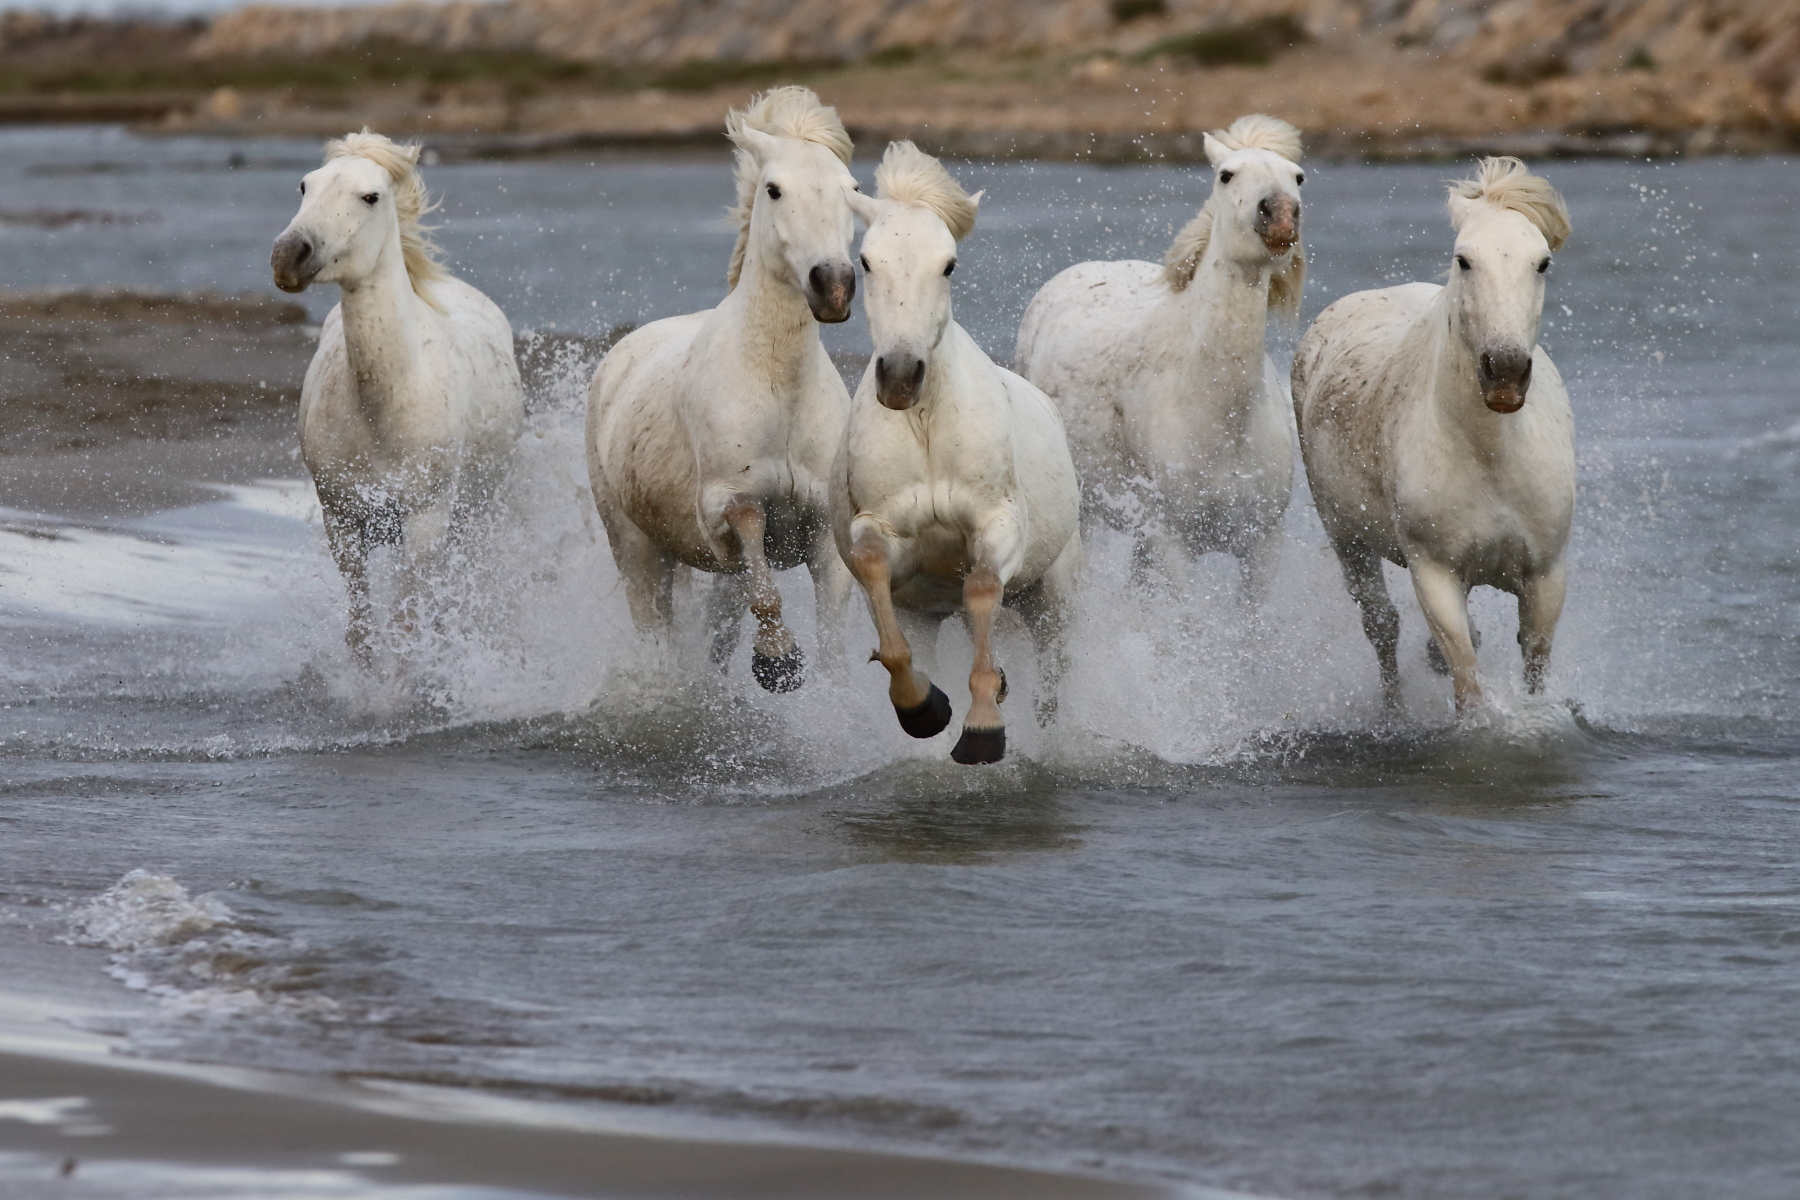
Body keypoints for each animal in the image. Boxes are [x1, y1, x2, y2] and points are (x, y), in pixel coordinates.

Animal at [271, 130, 525, 666]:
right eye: (305, 186)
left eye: (371, 196)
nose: (288, 256)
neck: (384, 409)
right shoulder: (343, 521)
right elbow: (363, 632)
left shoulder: (425, 523)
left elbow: (407, 626)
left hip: (471, 518)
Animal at [586, 87, 857, 693]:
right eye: (774, 189)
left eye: (852, 189)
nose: (833, 285)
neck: (777, 387)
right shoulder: (732, 505)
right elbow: (765, 590)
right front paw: (778, 661)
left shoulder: (826, 531)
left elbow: (833, 634)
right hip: (637, 549)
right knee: (655, 625)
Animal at [835, 142, 1082, 765]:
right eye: (866, 261)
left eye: (948, 264)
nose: (901, 377)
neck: (926, 426)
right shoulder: (882, 532)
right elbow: (873, 570)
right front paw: (924, 708)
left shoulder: (997, 525)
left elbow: (983, 586)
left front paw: (983, 727)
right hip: (926, 610)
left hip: (1054, 597)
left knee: (1054, 672)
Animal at [1015, 114, 1305, 606]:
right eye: (1226, 175)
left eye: (1298, 177)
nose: (1280, 215)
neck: (1218, 411)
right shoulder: (1173, 540)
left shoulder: (1264, 545)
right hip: (1089, 516)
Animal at [1292, 156, 1574, 714]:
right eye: (1464, 260)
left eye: (1543, 263)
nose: (1505, 373)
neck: (1490, 453)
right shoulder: (1435, 572)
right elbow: (1466, 683)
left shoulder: (1546, 576)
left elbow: (1533, 665)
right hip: (1348, 541)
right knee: (1381, 625)